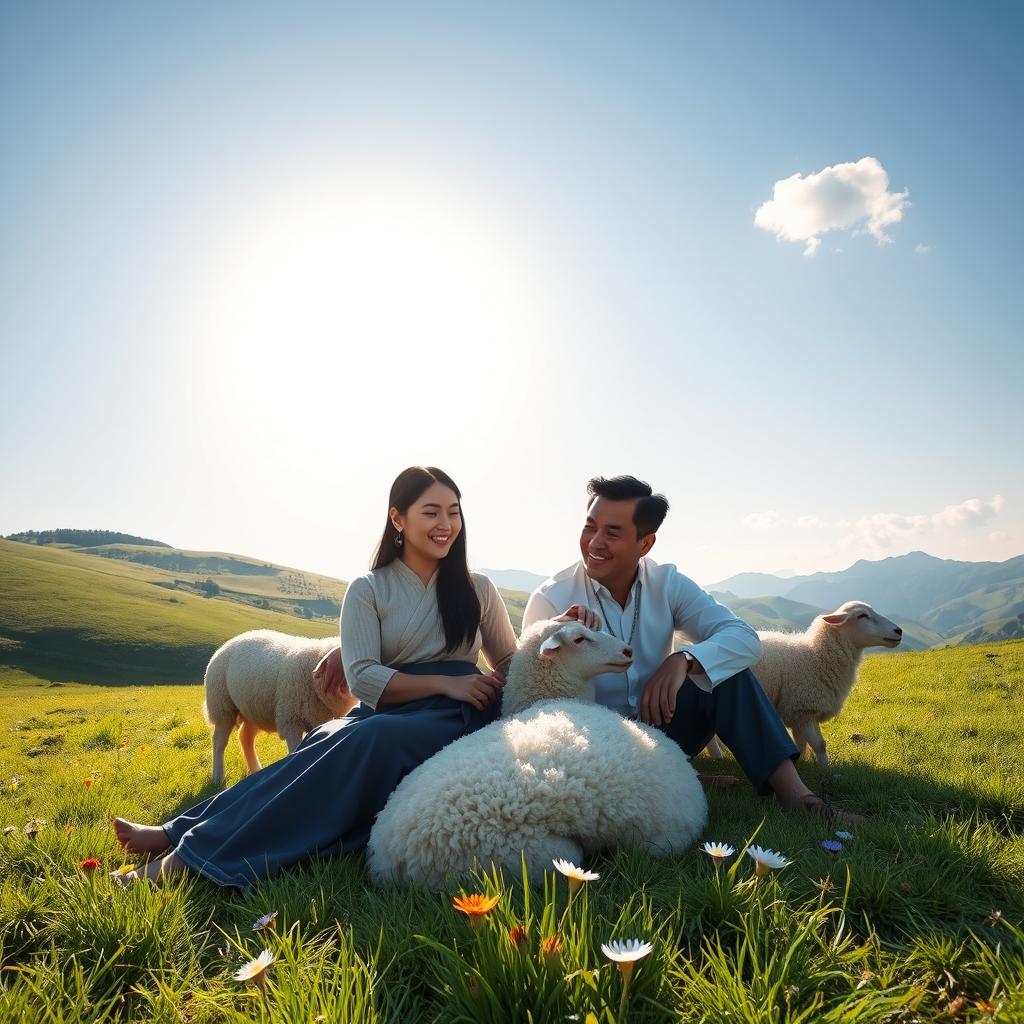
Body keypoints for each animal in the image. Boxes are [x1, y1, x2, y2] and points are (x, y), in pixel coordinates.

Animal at [201, 626, 358, 786]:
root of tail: (229, 642)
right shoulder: (291, 722)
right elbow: (295, 751)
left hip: (254, 708)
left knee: (245, 737)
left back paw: (255, 769)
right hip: (221, 705)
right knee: (219, 741)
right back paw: (218, 777)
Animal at [708, 598, 901, 770]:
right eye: (862, 615)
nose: (898, 631)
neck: (816, 655)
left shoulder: (800, 713)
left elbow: (801, 744)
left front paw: (802, 764)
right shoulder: (803, 708)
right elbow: (820, 744)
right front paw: (826, 768)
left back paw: (717, 757)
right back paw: (717, 757)